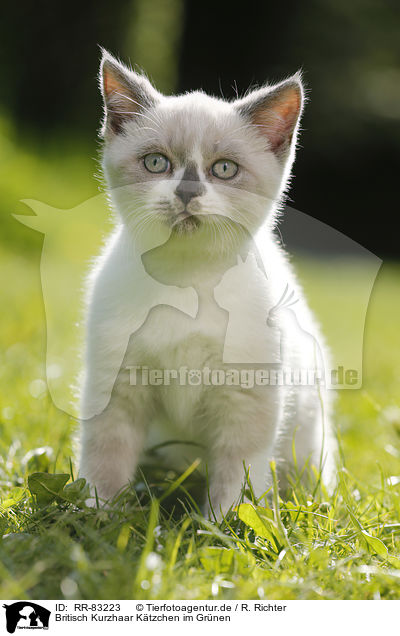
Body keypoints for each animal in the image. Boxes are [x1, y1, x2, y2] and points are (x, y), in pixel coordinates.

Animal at [78, 51, 334, 516]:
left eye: (224, 169)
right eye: (156, 162)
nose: (187, 192)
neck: (187, 280)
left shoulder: (245, 400)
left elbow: (238, 476)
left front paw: (223, 524)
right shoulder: (117, 387)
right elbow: (106, 457)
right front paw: (96, 515)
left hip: (309, 443)